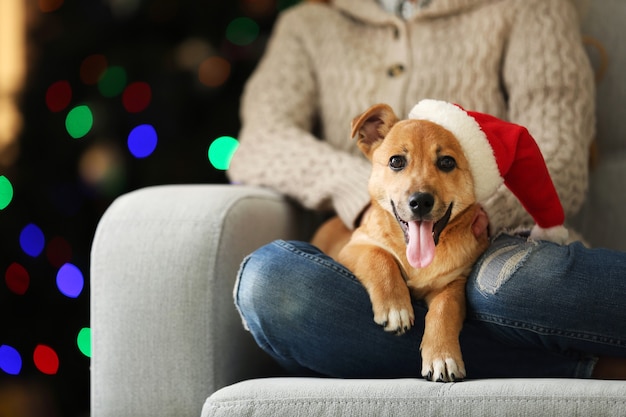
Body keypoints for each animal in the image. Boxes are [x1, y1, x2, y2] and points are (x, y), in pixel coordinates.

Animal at [310, 103, 490, 380]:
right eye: (396, 161)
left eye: (447, 162)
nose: (421, 201)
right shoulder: (354, 247)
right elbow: (380, 257)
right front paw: (396, 308)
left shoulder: (455, 281)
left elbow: (444, 309)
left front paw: (442, 356)